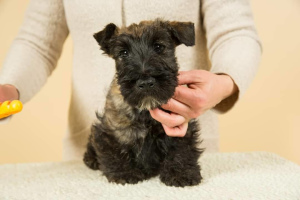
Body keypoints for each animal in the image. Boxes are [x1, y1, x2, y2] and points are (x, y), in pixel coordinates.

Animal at [83, 19, 203, 188]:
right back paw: (91, 160)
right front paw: (124, 173)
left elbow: (181, 149)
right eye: (123, 53)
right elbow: (114, 152)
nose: (145, 83)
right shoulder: (110, 131)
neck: (145, 110)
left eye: (159, 47)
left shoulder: (180, 128)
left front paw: (181, 173)